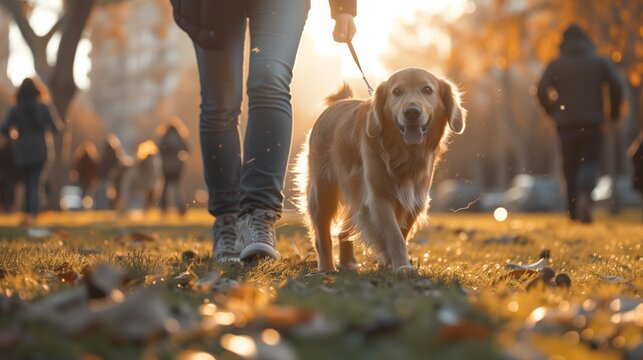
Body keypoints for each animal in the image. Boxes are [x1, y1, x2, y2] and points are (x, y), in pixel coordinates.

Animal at [296, 68, 468, 272]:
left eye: (427, 89)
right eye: (396, 91)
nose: (411, 112)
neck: (404, 154)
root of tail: (337, 103)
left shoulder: (415, 199)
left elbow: (402, 232)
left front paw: (389, 262)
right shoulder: (378, 198)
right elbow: (394, 236)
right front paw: (402, 266)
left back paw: (348, 262)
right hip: (322, 191)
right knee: (322, 233)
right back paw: (327, 268)